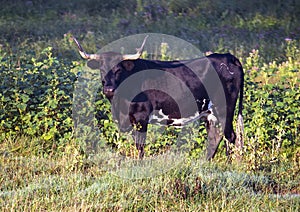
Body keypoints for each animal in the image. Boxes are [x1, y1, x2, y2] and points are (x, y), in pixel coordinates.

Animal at [73, 35, 244, 160]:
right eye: (102, 69)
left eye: (118, 70)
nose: (108, 89)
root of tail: (228, 57)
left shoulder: (141, 118)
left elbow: (140, 146)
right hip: (210, 114)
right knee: (215, 136)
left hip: (224, 108)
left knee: (230, 136)